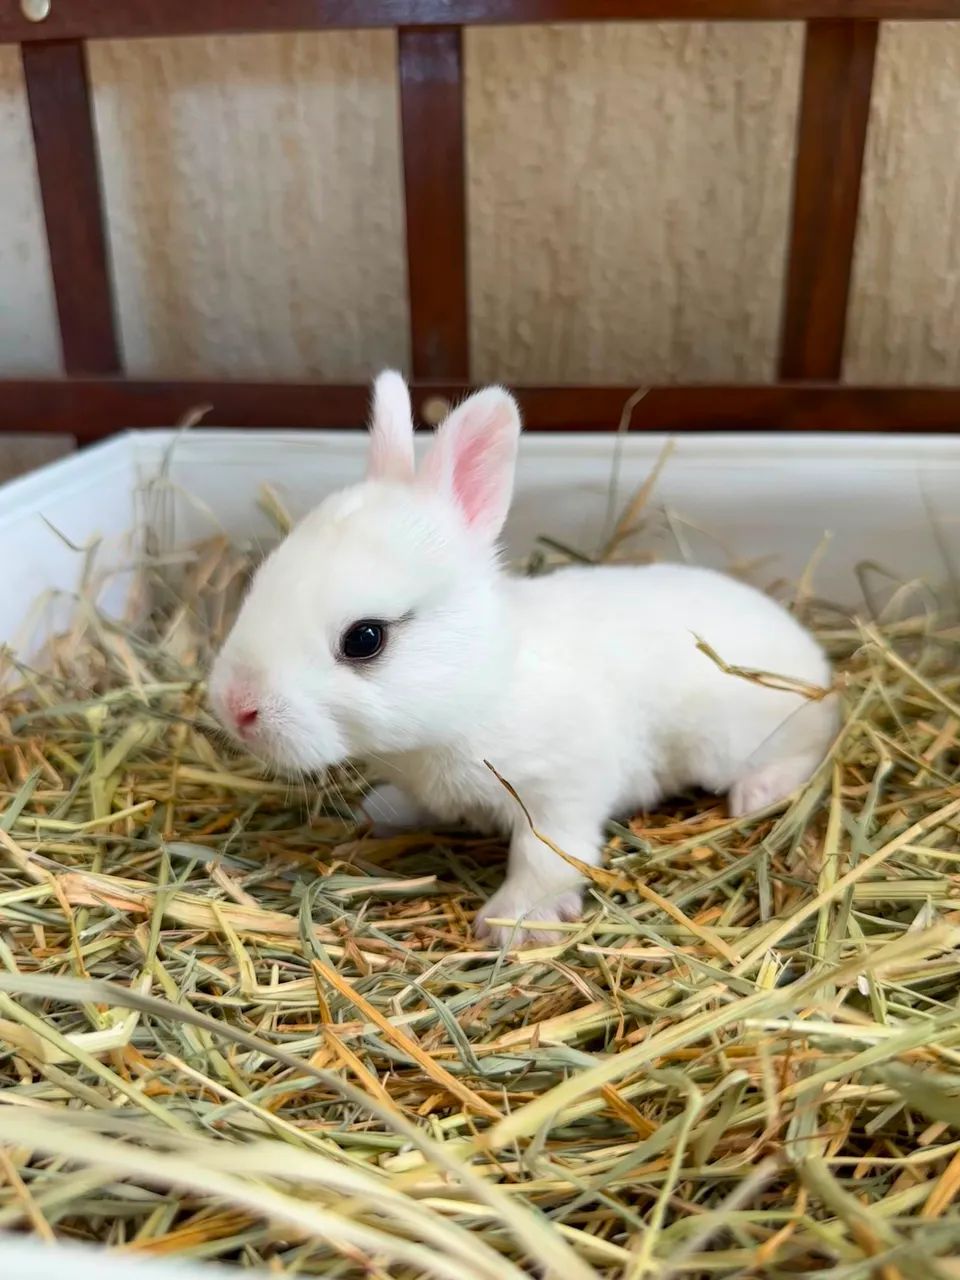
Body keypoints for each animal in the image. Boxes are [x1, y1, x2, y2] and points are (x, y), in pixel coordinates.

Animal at [208, 371, 836, 946]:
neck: (481, 685)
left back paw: (757, 793)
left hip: (732, 741)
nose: (236, 709)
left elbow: (546, 854)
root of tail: (822, 671)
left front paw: (515, 922)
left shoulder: (561, 789)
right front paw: (380, 811)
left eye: (365, 638)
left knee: (804, 752)